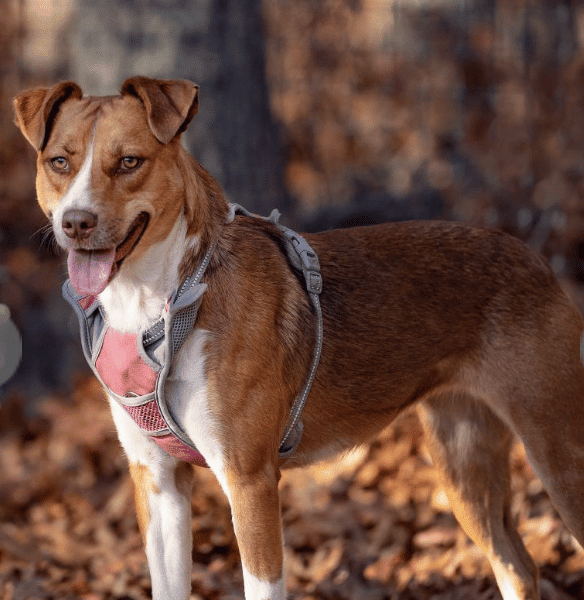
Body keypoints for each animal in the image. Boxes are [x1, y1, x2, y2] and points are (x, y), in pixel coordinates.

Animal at [12, 76, 584, 600]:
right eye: (59, 162)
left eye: (129, 162)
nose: (76, 223)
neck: (166, 300)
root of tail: (533, 257)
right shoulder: (158, 481)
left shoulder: (251, 482)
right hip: (462, 461)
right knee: (517, 567)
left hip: (556, 451)